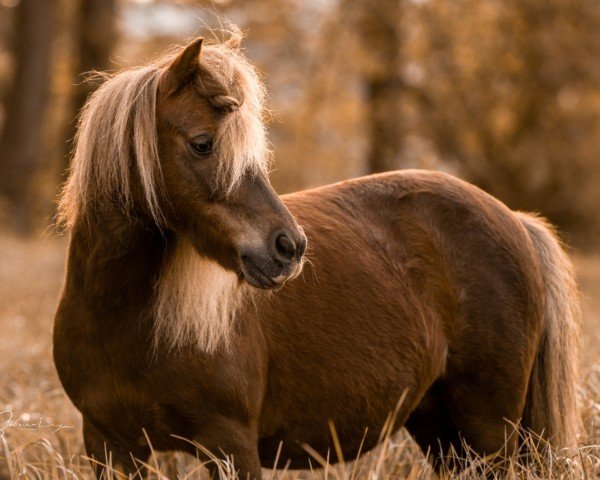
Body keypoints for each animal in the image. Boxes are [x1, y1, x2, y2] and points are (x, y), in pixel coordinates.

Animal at [52, 31, 580, 478]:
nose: (289, 247)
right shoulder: (111, 447)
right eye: (203, 144)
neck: (124, 325)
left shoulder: (229, 445)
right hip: (444, 431)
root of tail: (516, 219)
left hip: (490, 429)